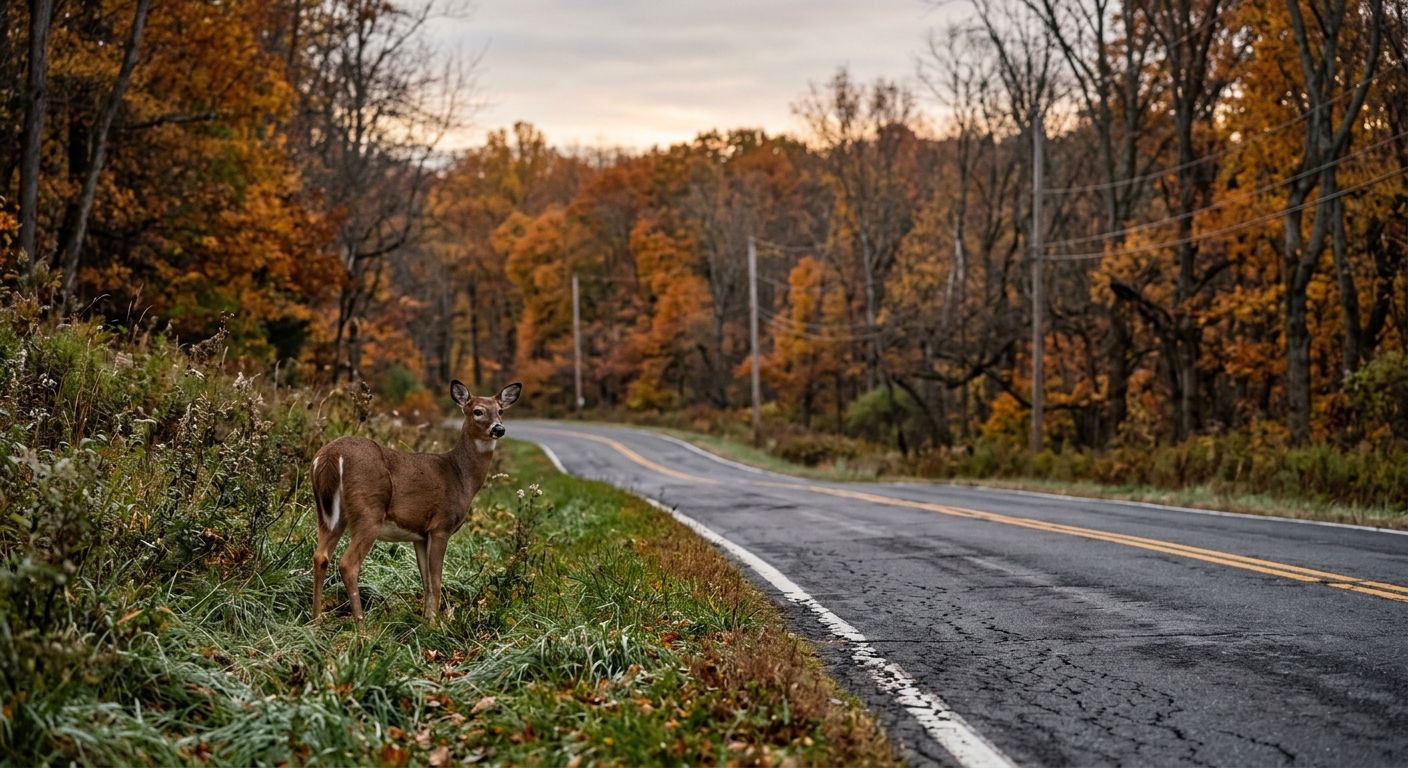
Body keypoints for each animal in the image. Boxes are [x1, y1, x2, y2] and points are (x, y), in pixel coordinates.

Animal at [309, 380, 522, 626]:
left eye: (501, 411)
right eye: (477, 411)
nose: (499, 429)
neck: (462, 477)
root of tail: (330, 456)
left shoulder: (420, 535)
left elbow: (426, 582)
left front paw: (426, 621)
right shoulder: (441, 525)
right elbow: (437, 581)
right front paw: (436, 626)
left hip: (327, 513)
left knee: (320, 557)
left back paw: (316, 622)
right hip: (369, 510)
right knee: (348, 564)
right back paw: (361, 628)